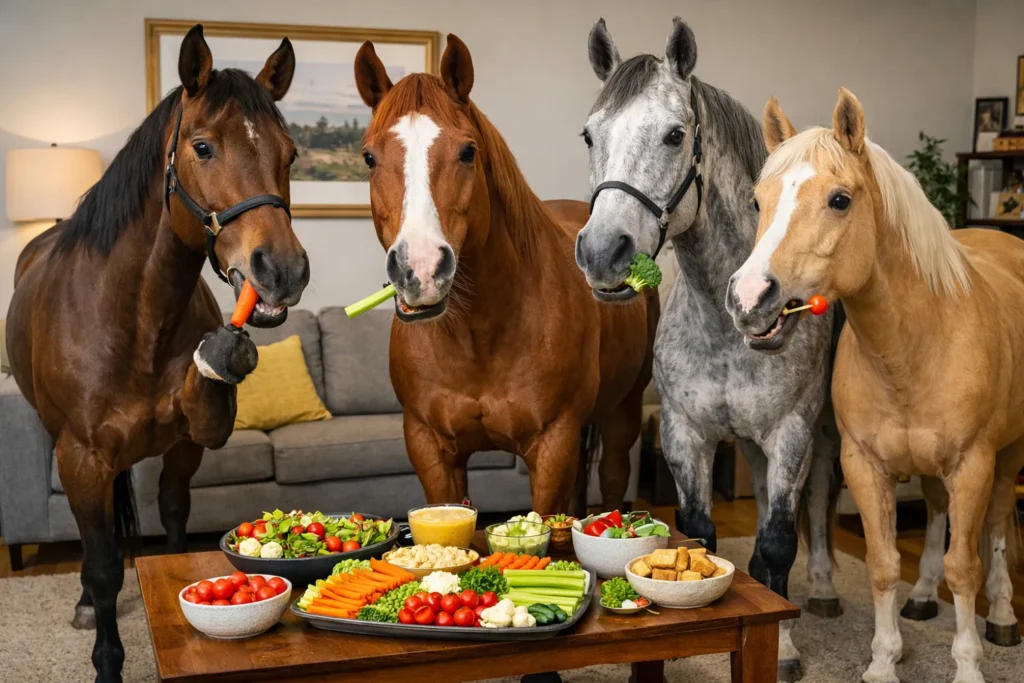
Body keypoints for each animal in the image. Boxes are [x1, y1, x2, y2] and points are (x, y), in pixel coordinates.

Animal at [5, 25, 307, 682]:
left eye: (291, 153)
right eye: (203, 147)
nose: (283, 272)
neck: (133, 319)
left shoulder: (191, 442)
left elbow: (171, 530)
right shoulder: (82, 458)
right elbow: (101, 565)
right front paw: (107, 659)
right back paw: (85, 603)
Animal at [351, 33, 657, 516]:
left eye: (467, 151)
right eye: (368, 157)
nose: (420, 269)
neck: (480, 335)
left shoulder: (552, 446)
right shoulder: (430, 447)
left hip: (621, 412)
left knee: (611, 481)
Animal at [576, 18, 844, 681]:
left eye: (675, 135)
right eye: (590, 135)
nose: (601, 253)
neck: (731, 321)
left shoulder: (790, 432)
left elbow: (777, 542)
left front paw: (785, 649)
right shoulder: (686, 433)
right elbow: (700, 533)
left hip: (824, 432)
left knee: (819, 500)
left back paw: (826, 589)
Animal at [728, 88, 1024, 683]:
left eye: (840, 200)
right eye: (757, 201)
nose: (749, 298)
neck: (913, 347)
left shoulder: (972, 465)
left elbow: (966, 567)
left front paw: (968, 666)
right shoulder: (865, 466)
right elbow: (884, 564)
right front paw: (885, 660)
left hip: (1009, 455)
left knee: (1001, 524)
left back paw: (1003, 616)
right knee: (935, 514)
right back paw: (923, 596)